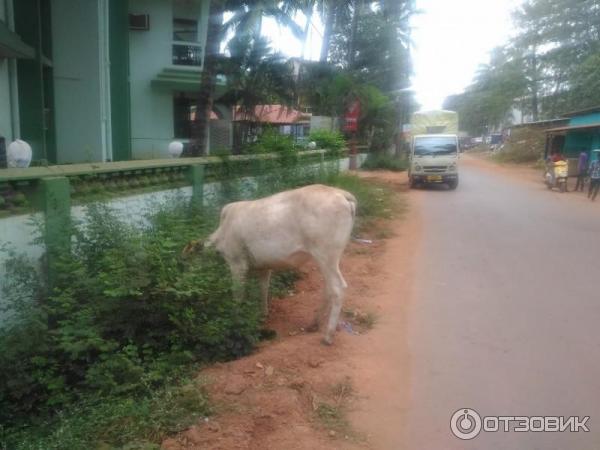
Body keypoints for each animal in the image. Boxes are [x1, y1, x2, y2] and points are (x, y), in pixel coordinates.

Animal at [184, 184, 356, 344]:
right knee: (328, 288)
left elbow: (237, 295)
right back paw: (313, 324)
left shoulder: (237, 264)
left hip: (326, 256)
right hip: (327, 260)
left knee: (337, 288)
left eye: (188, 259)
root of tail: (341, 193)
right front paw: (263, 314)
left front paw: (236, 321)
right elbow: (263, 289)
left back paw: (328, 335)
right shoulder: (264, 267)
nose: (191, 291)